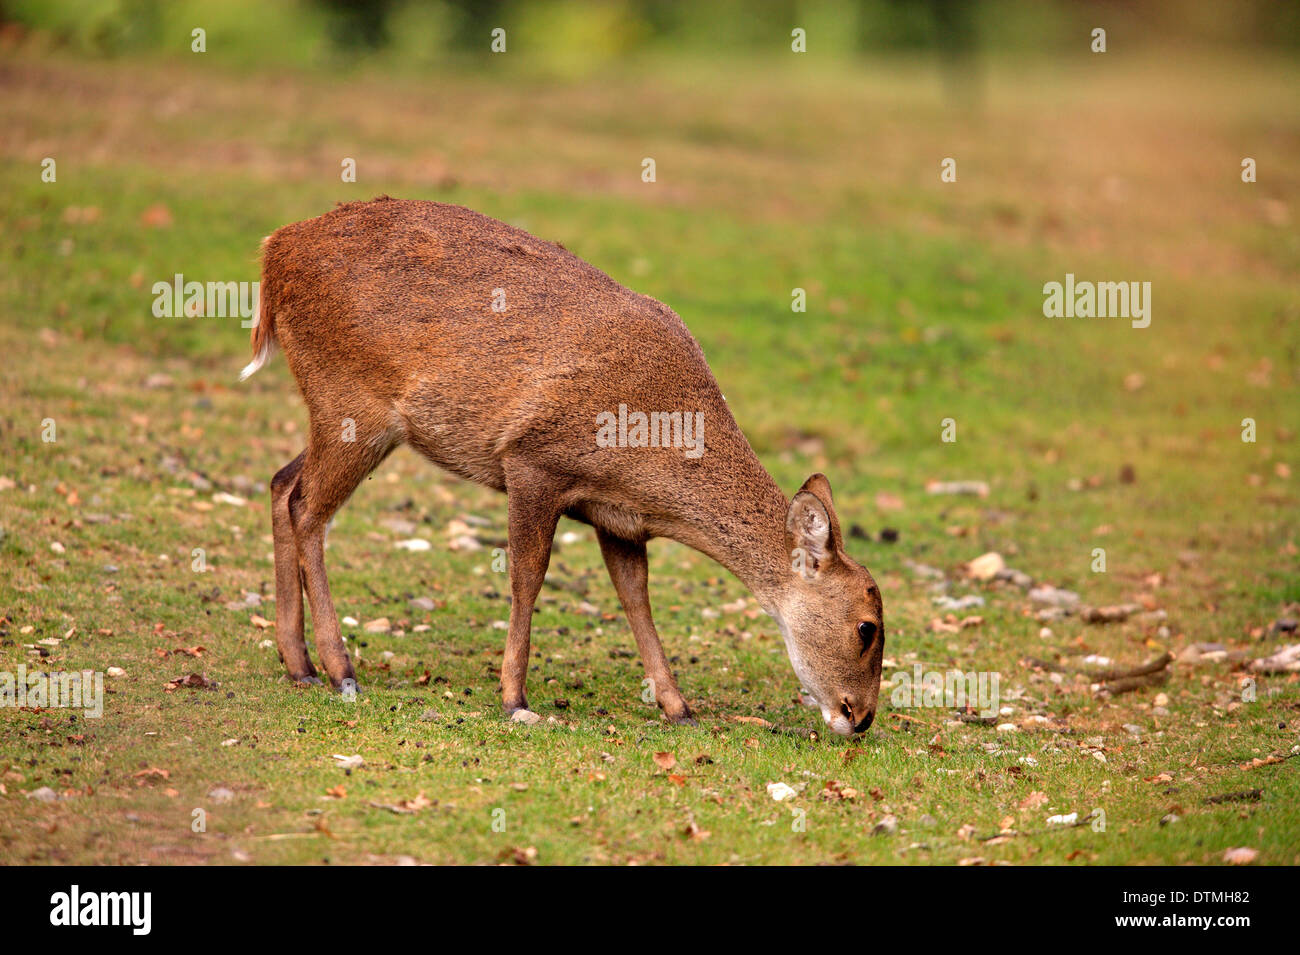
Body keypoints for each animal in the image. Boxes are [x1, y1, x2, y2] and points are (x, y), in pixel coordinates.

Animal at [243, 197, 883, 738]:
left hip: (350, 417)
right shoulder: (533, 460)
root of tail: (274, 251)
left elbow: (636, 598)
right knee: (308, 508)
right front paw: (514, 698)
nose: (860, 717)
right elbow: (528, 576)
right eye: (867, 627)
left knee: (282, 482)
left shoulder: (618, 518)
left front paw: (678, 707)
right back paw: (340, 668)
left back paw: (297, 662)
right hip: (351, 401)